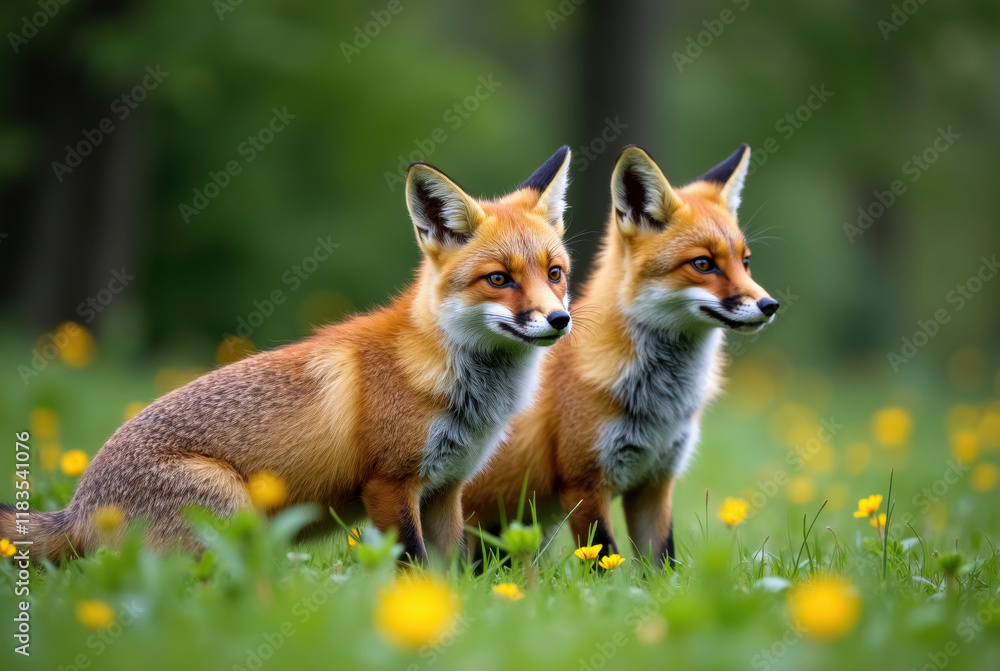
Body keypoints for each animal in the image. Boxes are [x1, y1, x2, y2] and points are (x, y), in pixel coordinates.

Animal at [1, 147, 575, 564]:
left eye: (554, 274)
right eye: (499, 279)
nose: (559, 320)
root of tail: (77, 506)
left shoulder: (445, 489)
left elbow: (448, 572)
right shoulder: (390, 485)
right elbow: (411, 568)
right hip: (227, 517)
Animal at [462, 144, 778, 567]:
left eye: (745, 262)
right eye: (703, 264)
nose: (770, 305)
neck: (659, 403)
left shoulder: (655, 483)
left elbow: (661, 564)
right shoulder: (583, 485)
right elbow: (603, 560)